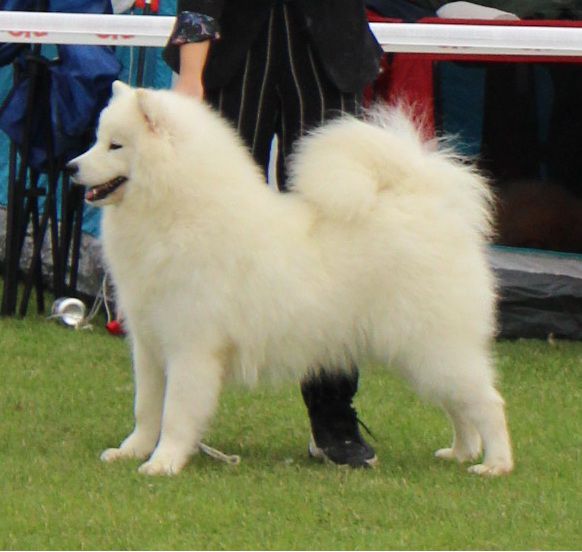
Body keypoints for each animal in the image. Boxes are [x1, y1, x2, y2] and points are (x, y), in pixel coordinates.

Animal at [69, 80, 516, 476]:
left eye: (115, 145)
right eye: (98, 139)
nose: (71, 166)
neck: (177, 210)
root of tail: (428, 203)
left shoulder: (191, 347)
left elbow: (176, 414)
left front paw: (164, 463)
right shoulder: (149, 344)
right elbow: (146, 409)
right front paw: (131, 451)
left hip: (434, 347)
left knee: (488, 402)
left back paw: (495, 464)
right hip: (423, 354)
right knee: (459, 407)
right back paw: (460, 452)